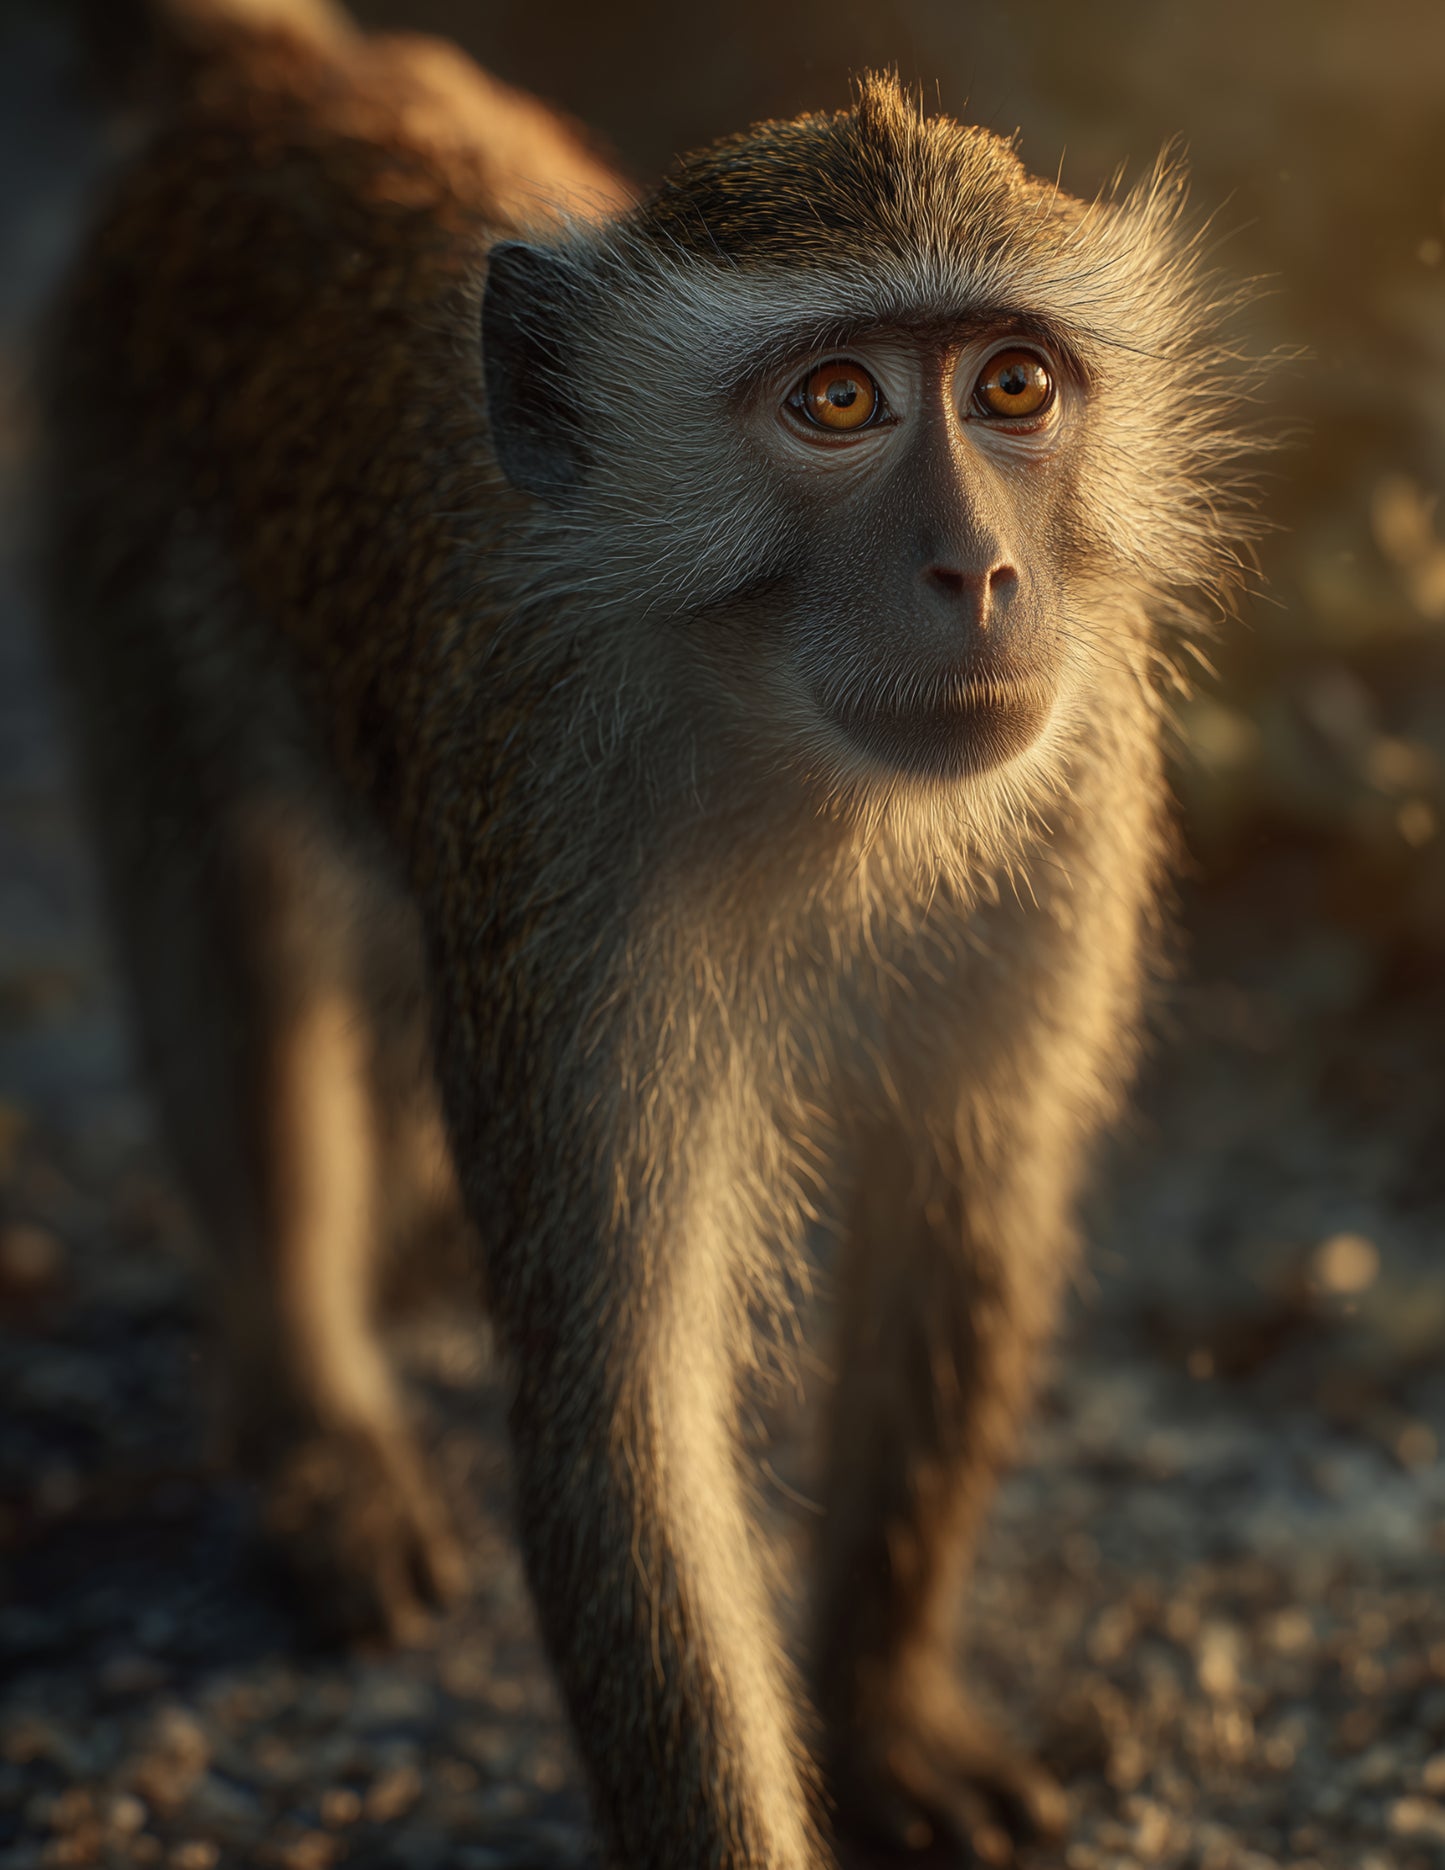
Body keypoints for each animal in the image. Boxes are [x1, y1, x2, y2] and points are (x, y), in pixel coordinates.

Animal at [35, 0, 1261, 1863]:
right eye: (838, 400)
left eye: (1014, 386)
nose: (979, 572)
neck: (802, 763)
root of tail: (276, 78)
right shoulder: (558, 857)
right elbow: (624, 1422)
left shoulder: (1077, 788)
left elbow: (958, 1219)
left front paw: (882, 1703)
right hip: (115, 504)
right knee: (228, 931)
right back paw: (310, 1418)